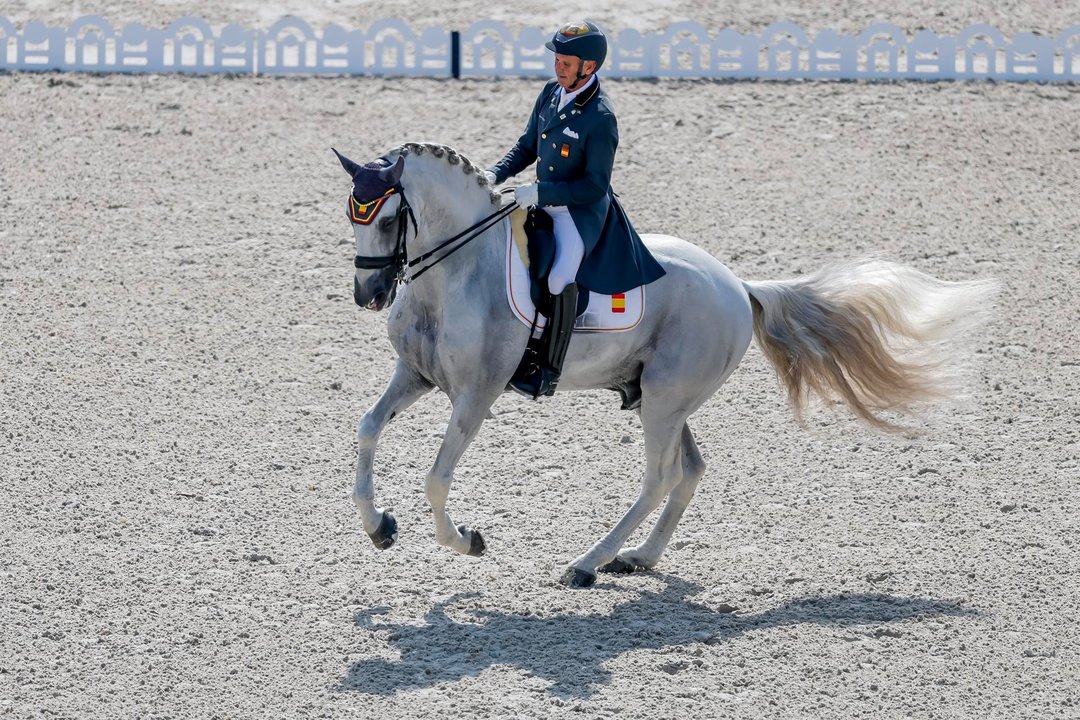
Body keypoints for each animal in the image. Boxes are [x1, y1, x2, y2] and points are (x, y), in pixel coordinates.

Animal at [334, 143, 993, 587]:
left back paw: (586, 563)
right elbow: (366, 428)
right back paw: (638, 558)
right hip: (661, 397)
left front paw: (465, 540)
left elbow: (436, 478)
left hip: (665, 400)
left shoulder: (476, 395)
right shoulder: (417, 376)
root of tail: (738, 286)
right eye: (350, 216)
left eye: (388, 219)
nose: (369, 295)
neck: (457, 271)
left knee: (660, 477)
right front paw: (378, 526)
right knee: (691, 470)